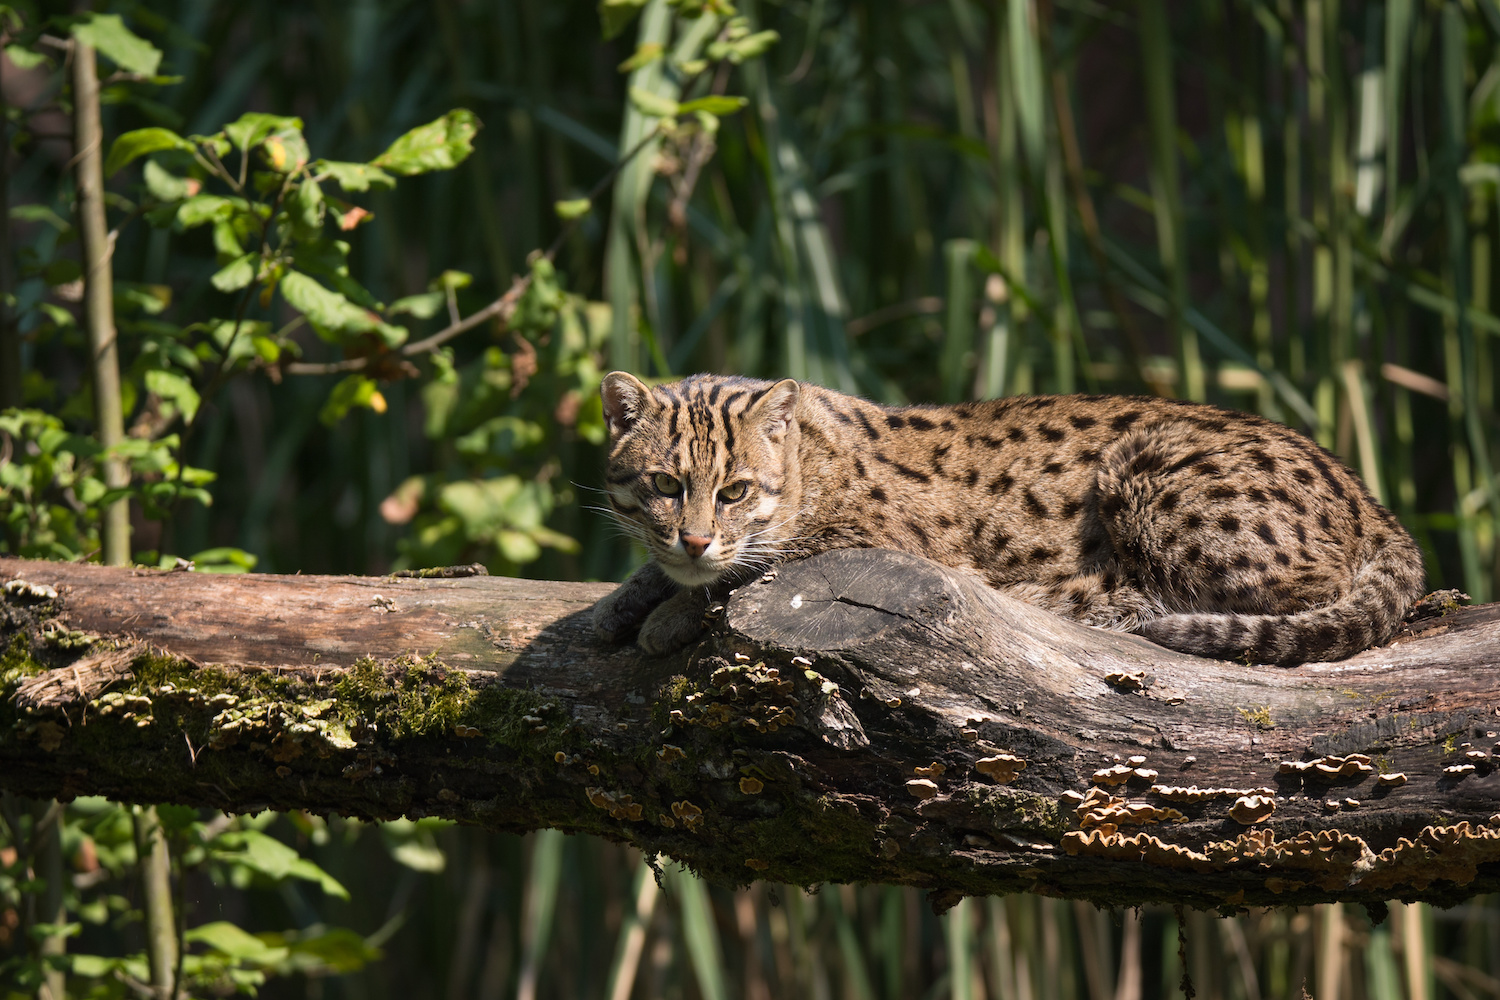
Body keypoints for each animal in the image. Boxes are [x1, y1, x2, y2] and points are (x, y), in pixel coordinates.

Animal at [591, 370, 1422, 665]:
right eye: (665, 484)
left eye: (733, 491)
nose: (695, 536)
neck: (807, 464)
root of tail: (1371, 502)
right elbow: (665, 570)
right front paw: (626, 599)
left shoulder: (888, 545)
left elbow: (750, 572)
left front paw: (672, 611)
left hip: (1152, 469)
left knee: (1304, 593)